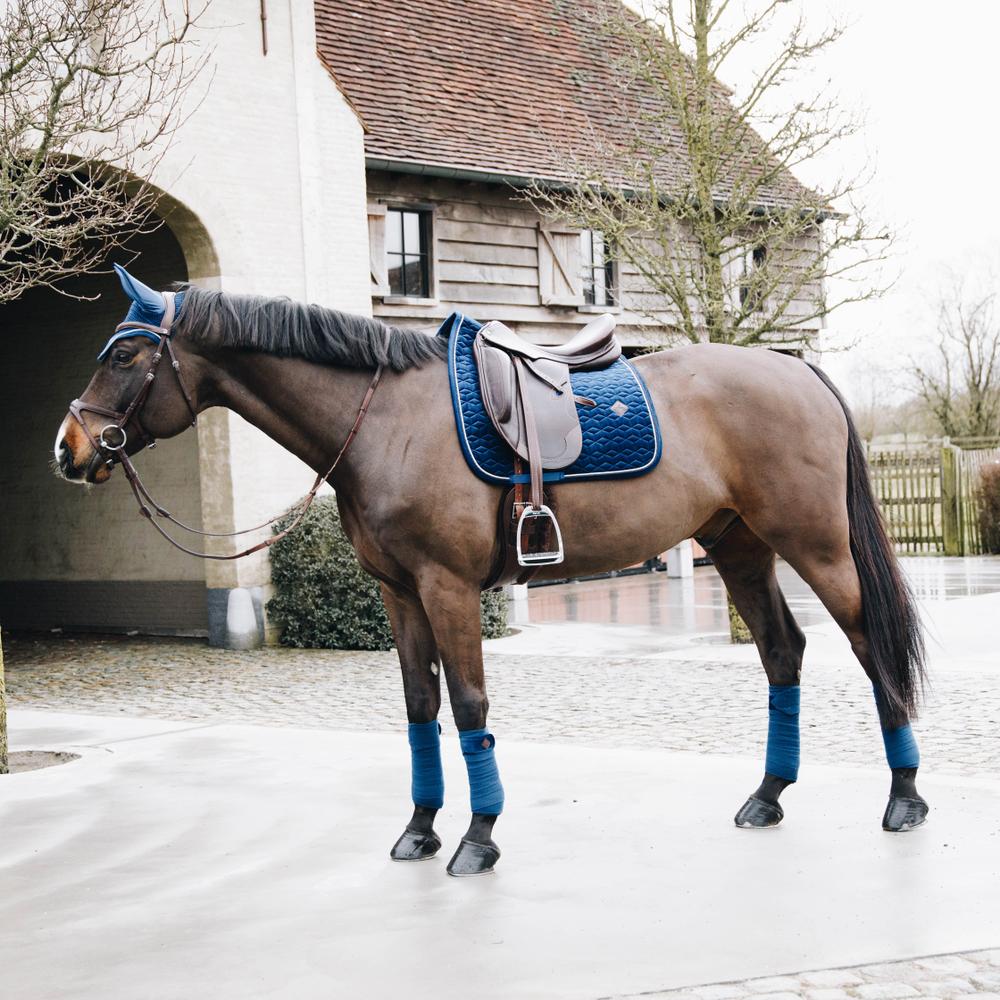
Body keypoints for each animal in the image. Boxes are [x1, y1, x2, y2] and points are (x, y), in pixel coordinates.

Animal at [54, 265, 928, 877]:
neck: (387, 422)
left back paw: (905, 797)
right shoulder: (398, 593)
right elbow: (420, 709)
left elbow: (470, 705)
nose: (68, 449)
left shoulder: (447, 588)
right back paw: (767, 796)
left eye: (126, 354)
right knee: (783, 652)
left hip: (819, 547)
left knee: (868, 648)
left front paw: (478, 837)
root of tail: (796, 369)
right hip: (741, 549)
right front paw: (419, 828)